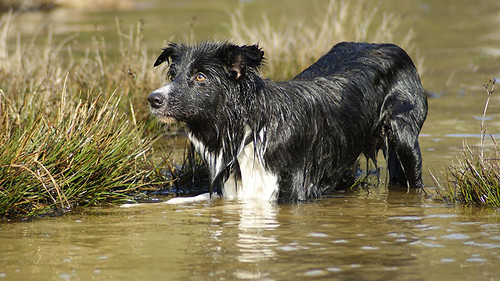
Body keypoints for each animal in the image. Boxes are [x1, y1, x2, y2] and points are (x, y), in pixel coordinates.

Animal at [147, 41, 426, 201]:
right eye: (173, 75)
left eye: (201, 76)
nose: (154, 99)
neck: (247, 131)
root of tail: (390, 45)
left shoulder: (292, 188)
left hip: (405, 139)